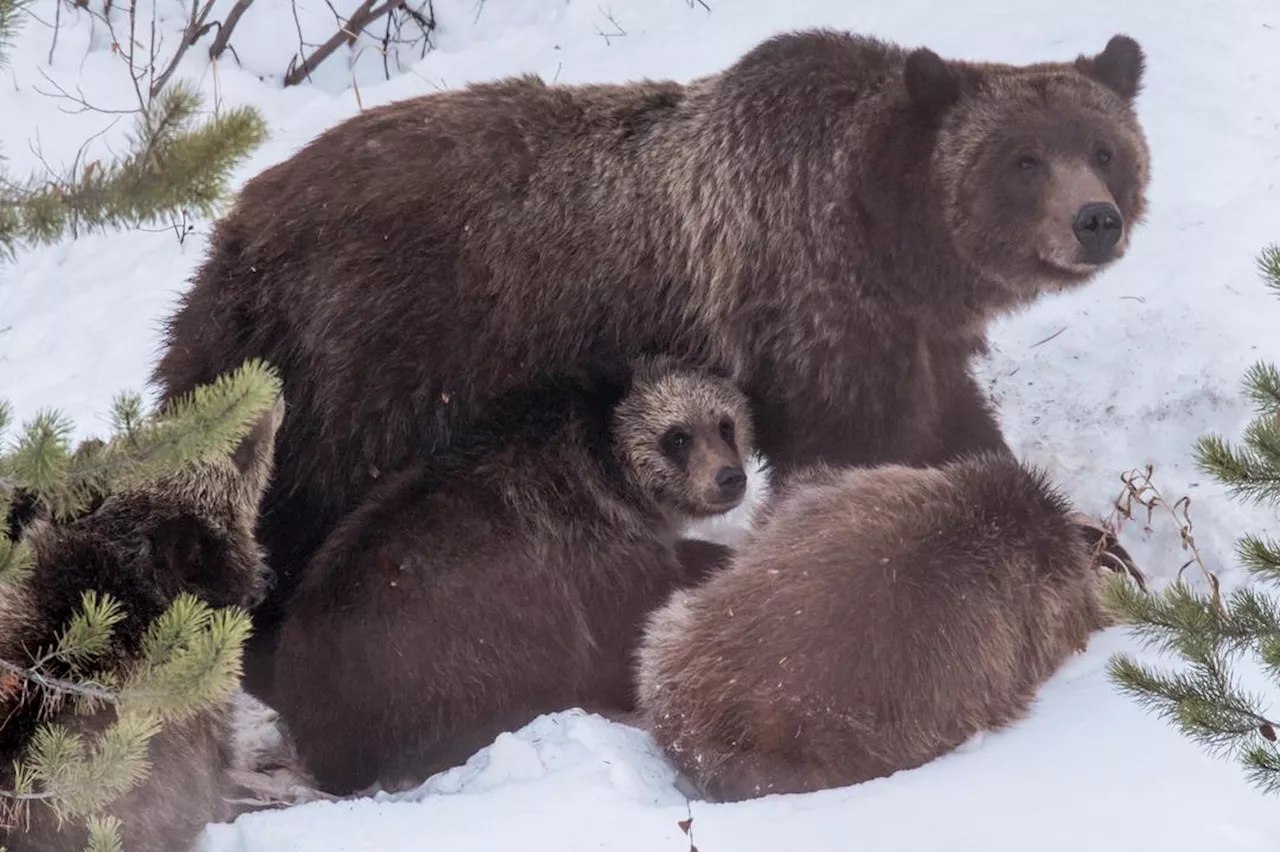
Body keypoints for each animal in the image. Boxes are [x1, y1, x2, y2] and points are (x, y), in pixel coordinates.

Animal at [149, 29, 1152, 690]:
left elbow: (952, 431)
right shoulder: (807, 305)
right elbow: (857, 453)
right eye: (1024, 160)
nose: (1095, 221)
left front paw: (1096, 543)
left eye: (1105, 148)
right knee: (303, 504)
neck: (890, 238)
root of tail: (235, 229)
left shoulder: (907, 336)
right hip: (371, 358)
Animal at [267, 355, 747, 793]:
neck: (617, 479)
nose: (730, 477)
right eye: (678, 437)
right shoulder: (590, 551)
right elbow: (630, 627)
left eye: (725, 425)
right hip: (458, 635)